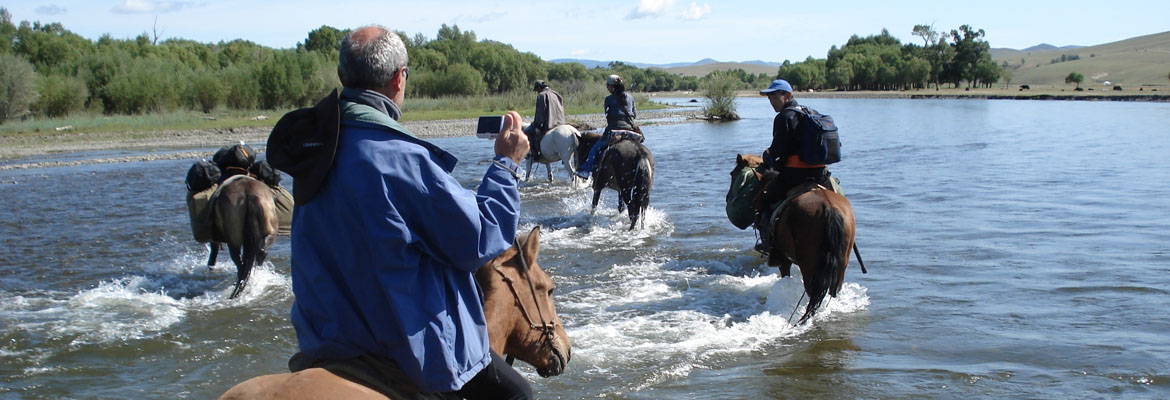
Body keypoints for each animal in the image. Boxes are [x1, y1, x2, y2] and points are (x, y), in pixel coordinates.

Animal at [730, 154, 861, 322]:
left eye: (732, 174)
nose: (728, 197)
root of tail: (829, 208)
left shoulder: (783, 259)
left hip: (808, 264)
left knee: (813, 292)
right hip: (840, 263)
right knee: (832, 290)